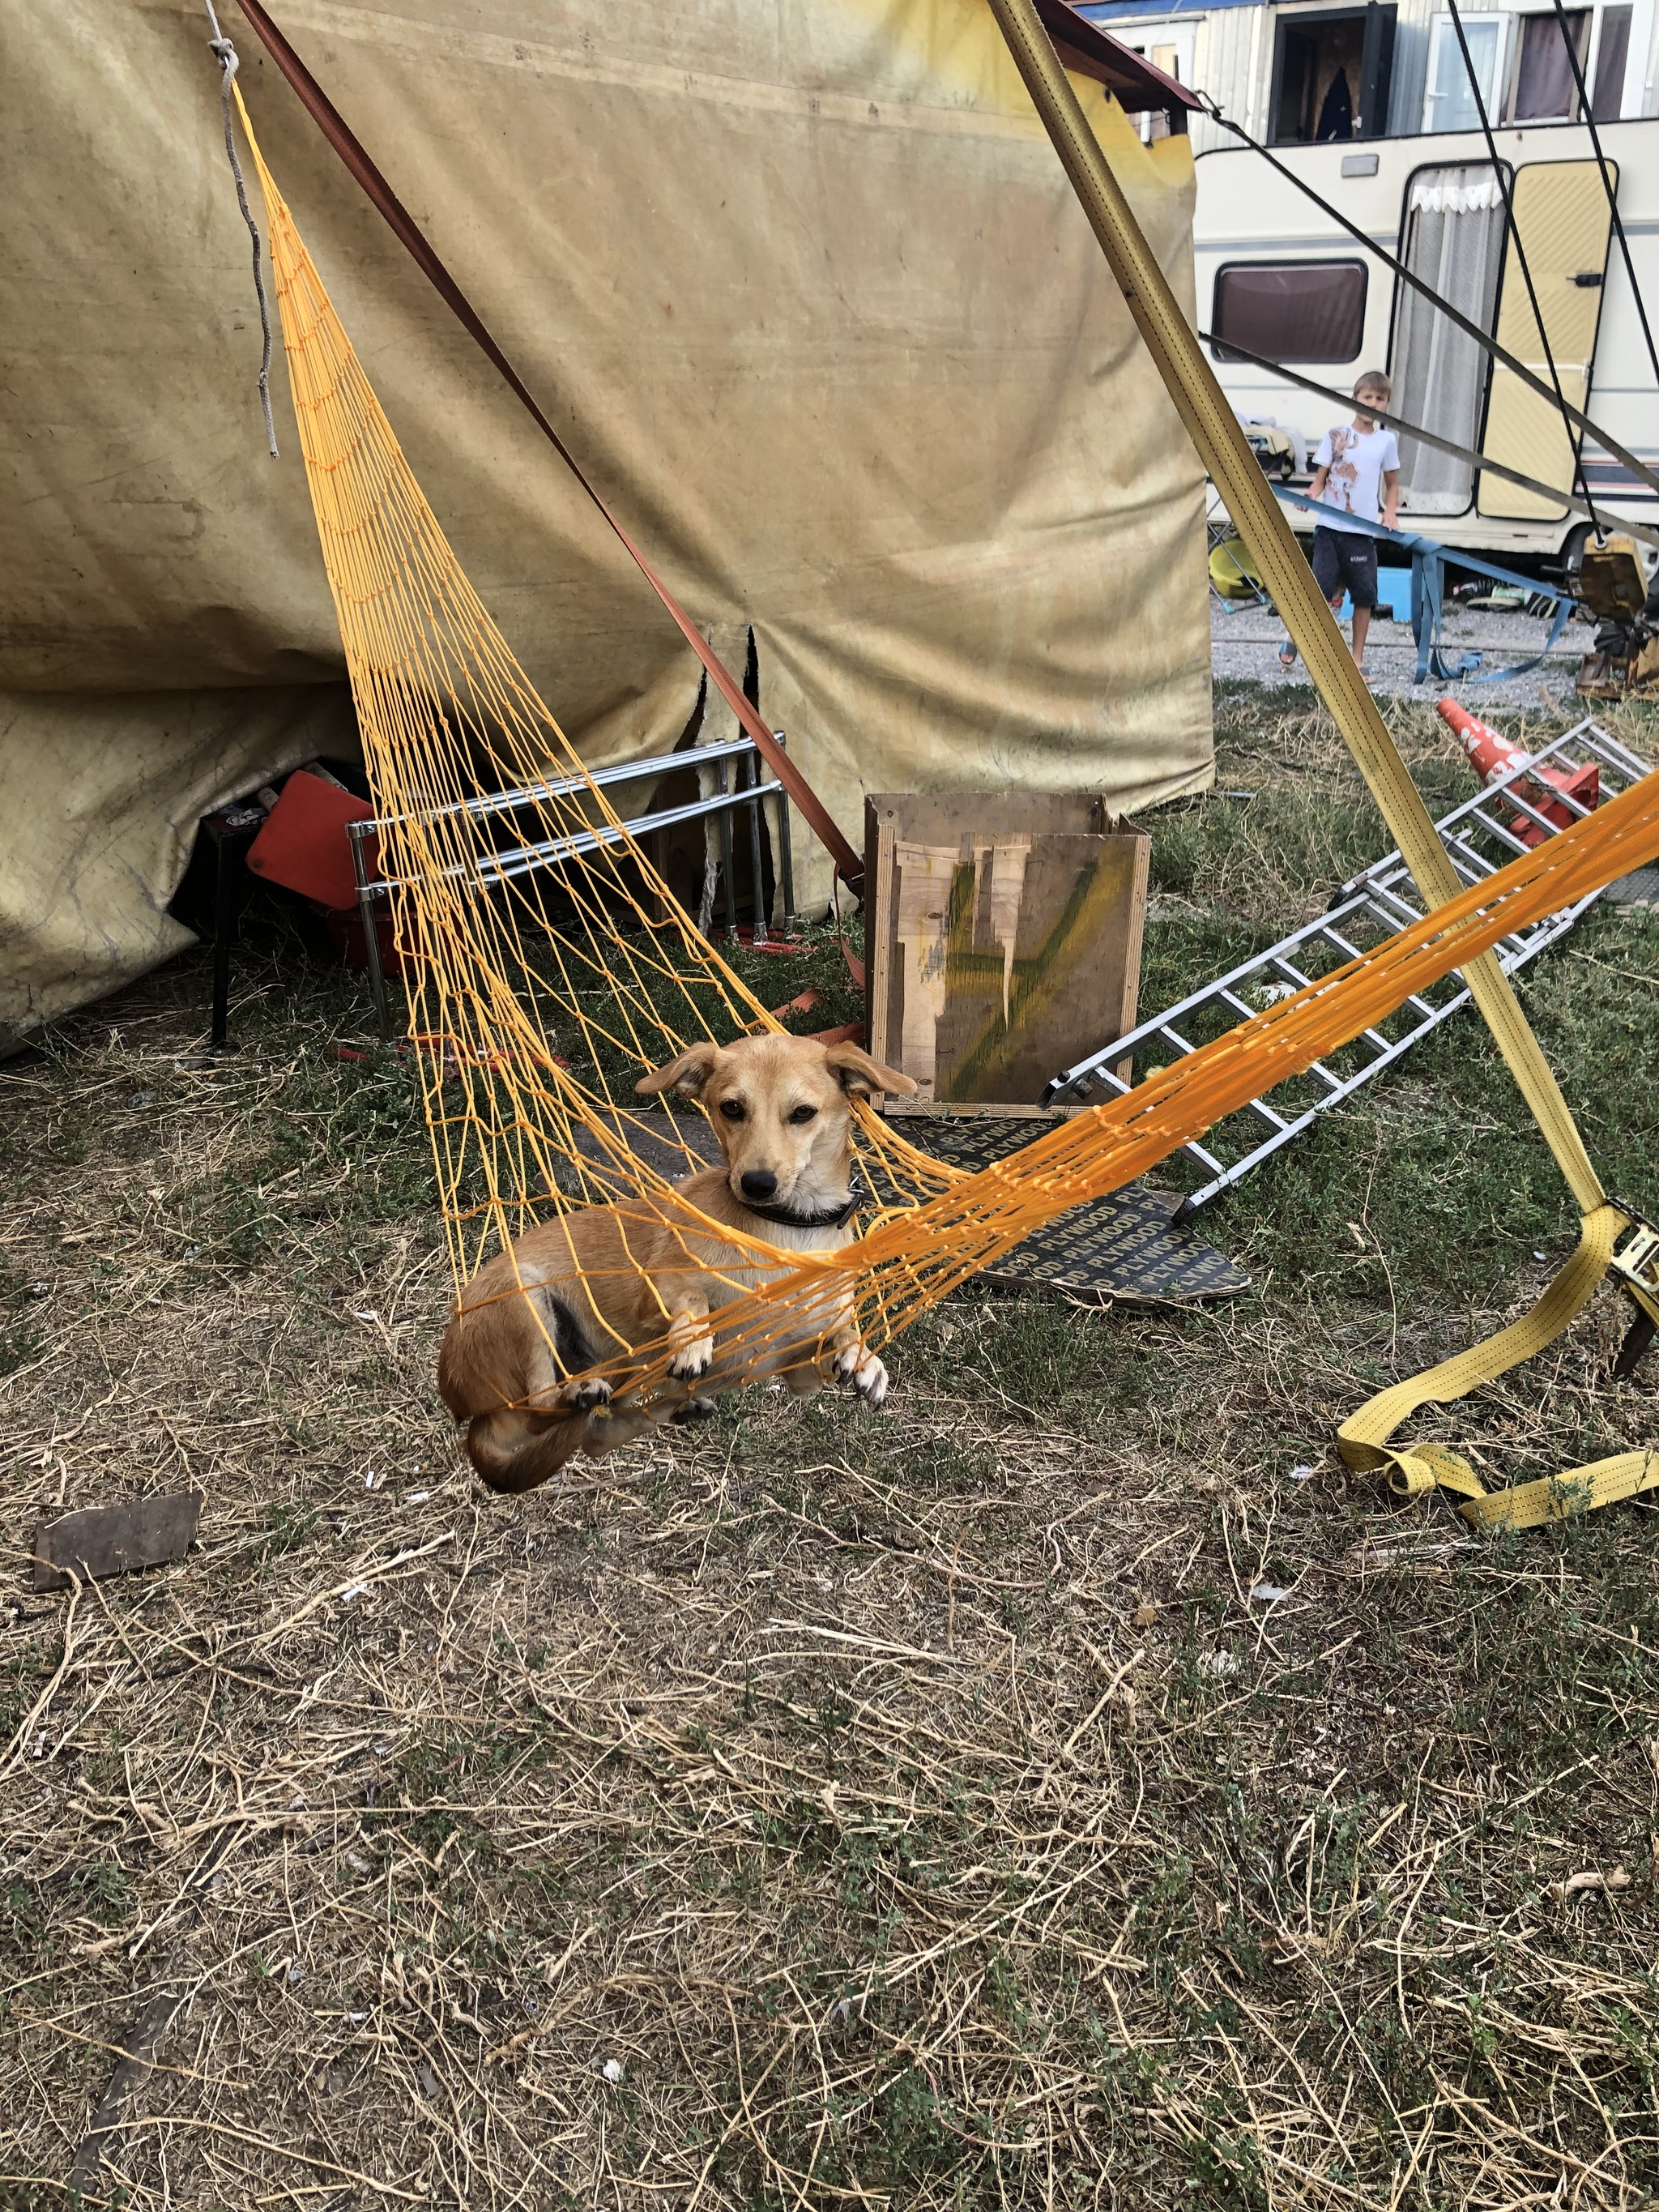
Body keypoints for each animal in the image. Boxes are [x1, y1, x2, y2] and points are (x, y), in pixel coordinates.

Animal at [435, 1031, 915, 1486]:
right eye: (731, 1108)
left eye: (803, 1113)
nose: (756, 1183)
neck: (790, 1229)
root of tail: (468, 1413)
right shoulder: (653, 1291)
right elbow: (693, 1298)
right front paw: (692, 1343)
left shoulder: (792, 1371)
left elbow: (840, 1333)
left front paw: (863, 1357)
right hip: (523, 1297)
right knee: (539, 1404)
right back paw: (580, 1391)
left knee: (594, 1436)